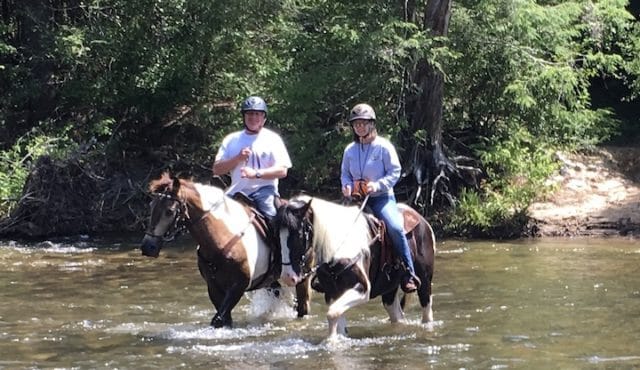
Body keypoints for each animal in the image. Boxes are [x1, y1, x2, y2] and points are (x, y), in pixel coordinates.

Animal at [141, 172, 312, 328]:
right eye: (151, 206)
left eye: (169, 211)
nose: (147, 247)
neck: (223, 238)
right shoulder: (213, 287)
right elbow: (224, 319)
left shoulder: (238, 287)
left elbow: (217, 320)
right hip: (270, 280)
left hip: (301, 277)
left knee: (302, 306)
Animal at [276, 195, 436, 340]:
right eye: (278, 235)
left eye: (299, 234)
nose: (287, 277)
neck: (340, 248)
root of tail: (422, 220)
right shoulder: (332, 293)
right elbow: (337, 318)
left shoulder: (362, 289)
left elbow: (332, 314)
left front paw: (331, 342)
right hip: (389, 289)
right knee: (397, 315)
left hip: (424, 282)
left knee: (427, 312)